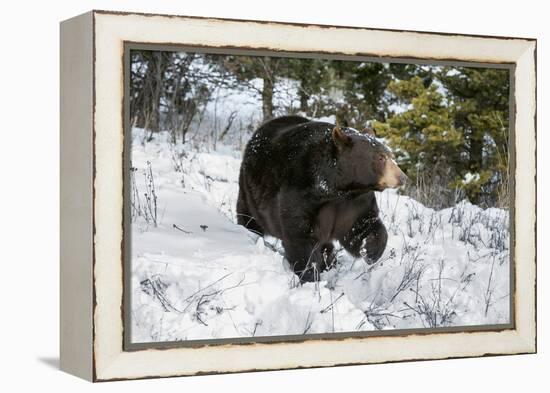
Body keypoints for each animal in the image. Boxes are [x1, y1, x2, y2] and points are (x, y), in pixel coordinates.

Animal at [235, 115, 408, 282]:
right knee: (248, 217)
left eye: (390, 155)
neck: (337, 189)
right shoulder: (301, 195)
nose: (402, 177)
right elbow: (300, 237)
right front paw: (310, 275)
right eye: (380, 158)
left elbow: (361, 226)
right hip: (249, 192)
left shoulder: (355, 202)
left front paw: (370, 250)